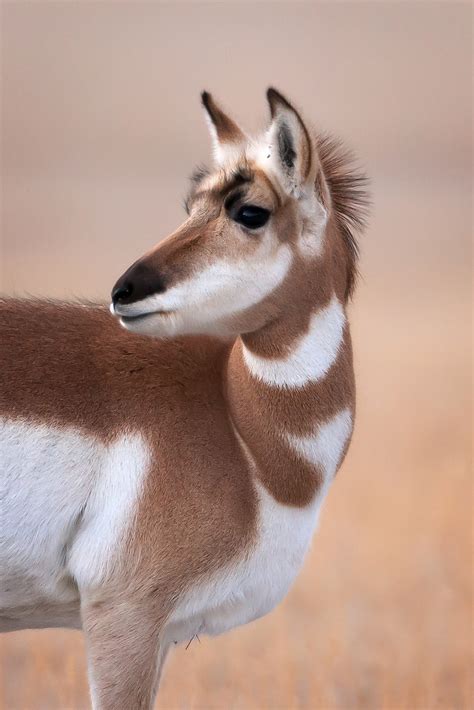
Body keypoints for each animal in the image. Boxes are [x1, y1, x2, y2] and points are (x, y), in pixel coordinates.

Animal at [0, 90, 368, 710]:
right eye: (191, 203)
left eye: (249, 211)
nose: (124, 290)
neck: (245, 438)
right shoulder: (124, 615)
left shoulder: (163, 633)